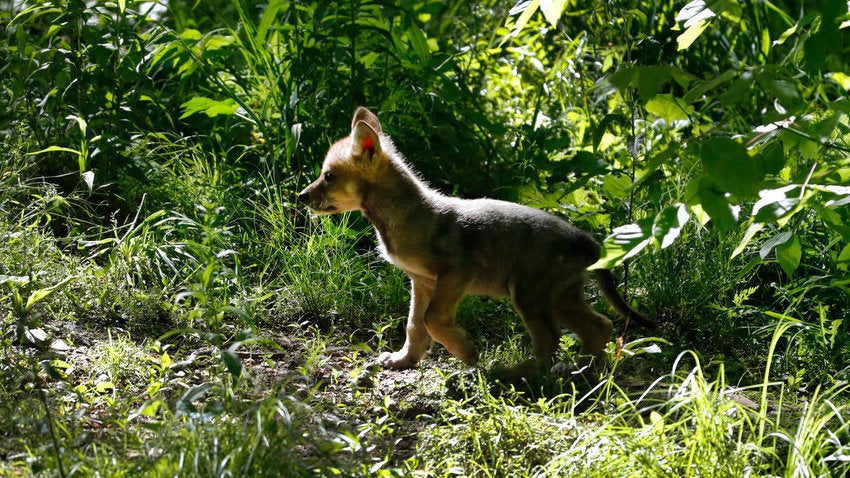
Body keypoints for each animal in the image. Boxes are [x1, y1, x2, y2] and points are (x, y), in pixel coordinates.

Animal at [299, 107, 654, 375]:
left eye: (328, 176)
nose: (300, 196)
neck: (407, 215)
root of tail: (586, 239)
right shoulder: (421, 282)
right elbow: (415, 326)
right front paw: (403, 360)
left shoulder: (456, 274)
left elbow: (431, 321)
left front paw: (466, 351)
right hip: (559, 298)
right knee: (599, 326)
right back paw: (583, 369)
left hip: (531, 296)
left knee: (551, 339)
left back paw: (519, 373)